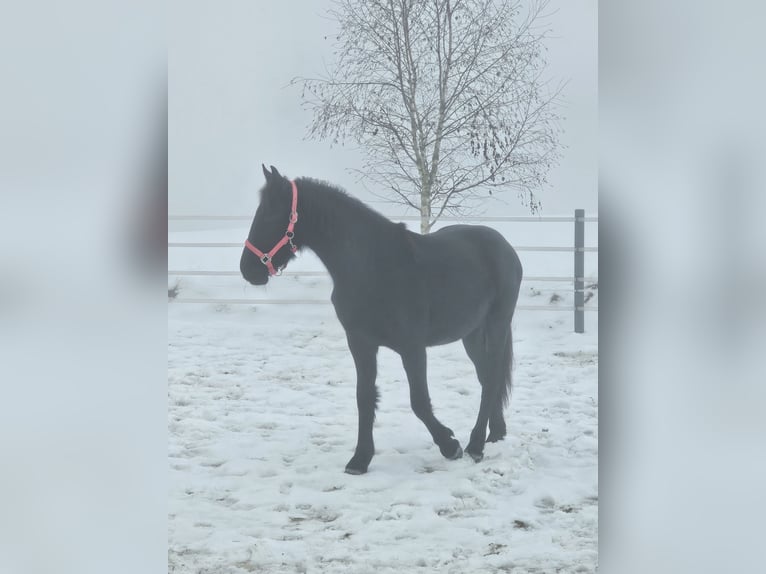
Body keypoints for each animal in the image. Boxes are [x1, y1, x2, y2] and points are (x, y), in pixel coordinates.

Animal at [240, 165, 523, 474]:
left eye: (269, 215)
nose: (247, 269)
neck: (372, 266)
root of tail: (504, 246)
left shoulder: (412, 347)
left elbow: (419, 401)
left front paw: (450, 445)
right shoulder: (360, 343)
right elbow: (364, 397)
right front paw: (360, 459)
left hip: (496, 324)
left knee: (492, 377)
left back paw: (475, 444)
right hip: (470, 334)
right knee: (486, 377)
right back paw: (495, 433)